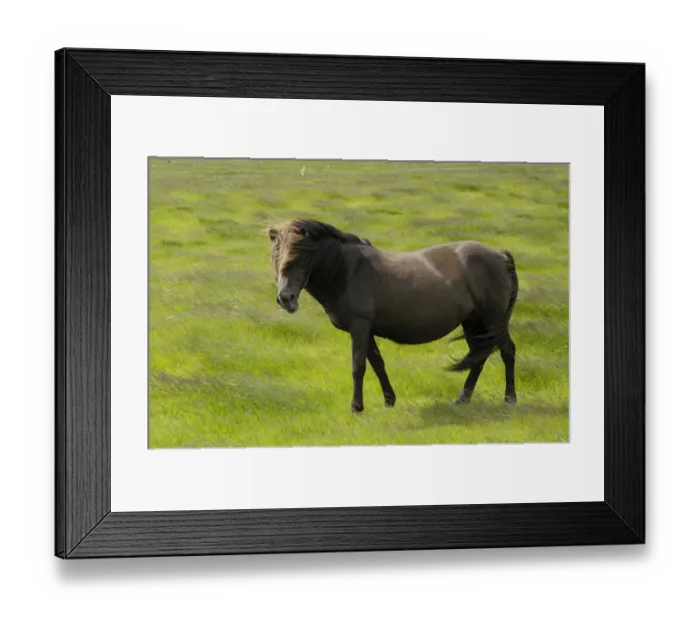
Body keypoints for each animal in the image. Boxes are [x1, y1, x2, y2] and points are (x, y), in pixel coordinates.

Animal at [267, 219, 519, 413]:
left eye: (301, 257)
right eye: (275, 257)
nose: (286, 299)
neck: (345, 270)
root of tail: (501, 256)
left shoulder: (359, 327)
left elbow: (358, 367)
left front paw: (356, 407)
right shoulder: (366, 329)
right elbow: (377, 363)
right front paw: (389, 401)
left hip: (493, 320)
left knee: (506, 351)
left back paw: (510, 399)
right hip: (473, 322)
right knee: (479, 356)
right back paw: (462, 399)